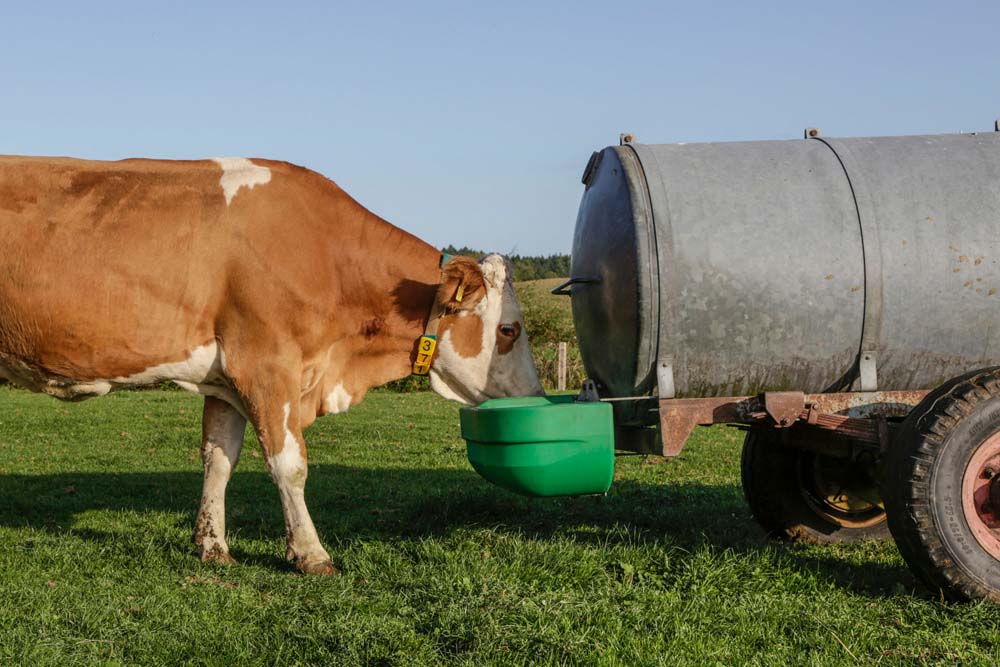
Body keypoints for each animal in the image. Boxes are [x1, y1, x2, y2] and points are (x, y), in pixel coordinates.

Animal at [0, 155, 544, 576]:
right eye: (509, 331)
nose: (534, 398)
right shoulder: (265, 365)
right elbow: (290, 464)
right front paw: (310, 553)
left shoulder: (225, 378)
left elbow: (219, 459)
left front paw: (213, 545)